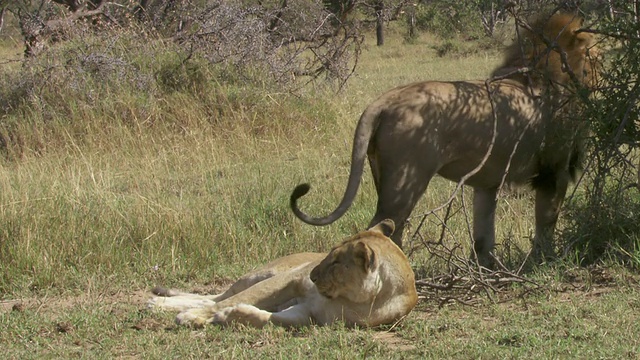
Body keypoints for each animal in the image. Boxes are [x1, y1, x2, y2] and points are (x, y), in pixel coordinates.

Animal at [147, 219, 418, 330]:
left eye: (336, 262)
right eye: (329, 253)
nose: (313, 275)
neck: (358, 300)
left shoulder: (311, 315)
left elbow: (274, 319)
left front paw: (231, 316)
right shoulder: (289, 281)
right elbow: (228, 301)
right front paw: (192, 317)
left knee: (213, 298)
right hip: (260, 275)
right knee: (218, 296)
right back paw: (159, 303)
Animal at [290, 11, 600, 268]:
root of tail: (385, 100)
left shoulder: (486, 182)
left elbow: (483, 235)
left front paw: (486, 270)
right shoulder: (554, 172)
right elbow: (546, 222)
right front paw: (545, 261)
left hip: (383, 175)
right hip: (405, 181)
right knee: (383, 229)